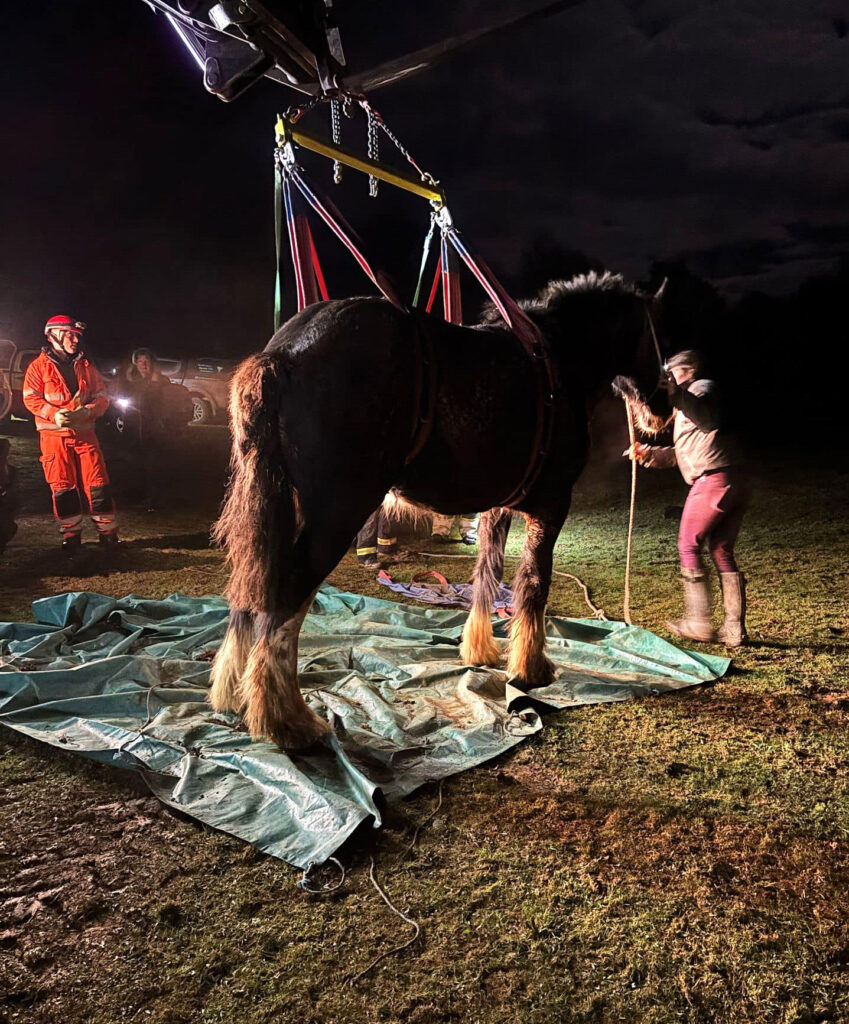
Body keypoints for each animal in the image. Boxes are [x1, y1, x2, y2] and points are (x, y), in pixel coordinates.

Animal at [209, 274, 663, 753]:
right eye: (655, 335)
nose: (661, 410)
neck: (559, 359)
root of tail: (282, 354)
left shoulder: (497, 506)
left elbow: (487, 573)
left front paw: (480, 650)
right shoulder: (552, 505)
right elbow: (534, 583)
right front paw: (531, 667)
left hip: (272, 505)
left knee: (252, 589)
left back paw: (236, 693)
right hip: (335, 513)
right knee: (286, 599)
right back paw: (287, 720)